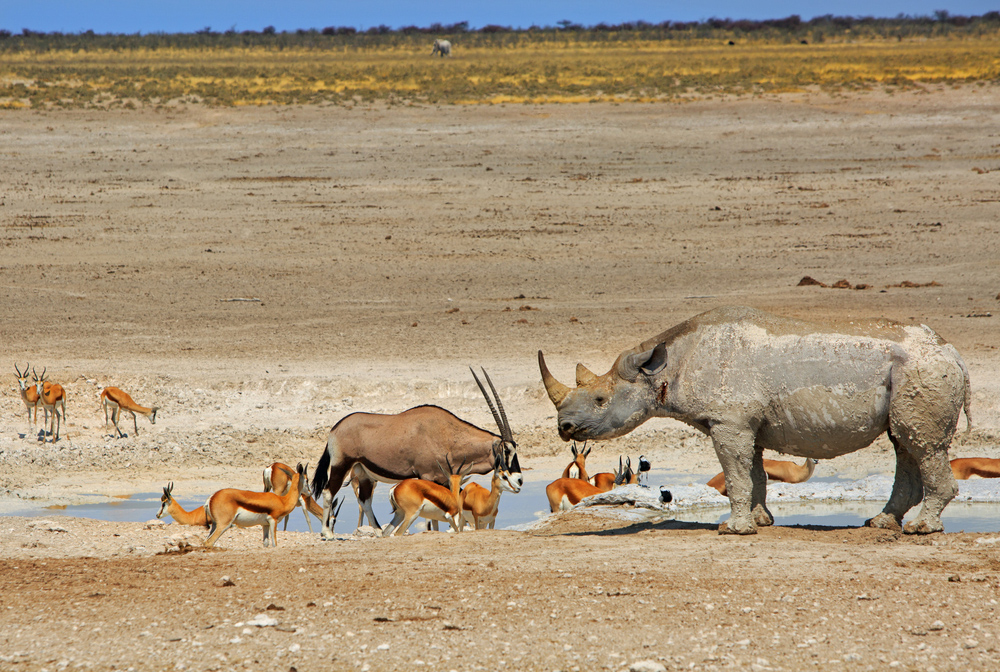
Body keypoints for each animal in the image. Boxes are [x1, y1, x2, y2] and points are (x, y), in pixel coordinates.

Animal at [312, 368, 524, 540]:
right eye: (507, 450)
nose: (519, 479)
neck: (445, 433)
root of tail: (335, 429)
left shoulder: (443, 478)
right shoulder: (427, 476)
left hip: (363, 473)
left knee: (365, 500)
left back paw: (379, 532)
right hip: (341, 465)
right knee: (329, 492)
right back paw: (327, 533)